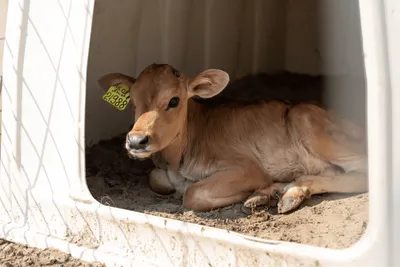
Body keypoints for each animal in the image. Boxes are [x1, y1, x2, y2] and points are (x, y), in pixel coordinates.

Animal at [98, 63, 368, 215]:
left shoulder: (247, 168)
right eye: (132, 102)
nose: (136, 141)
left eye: (174, 100)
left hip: (307, 121)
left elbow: (192, 193)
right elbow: (156, 178)